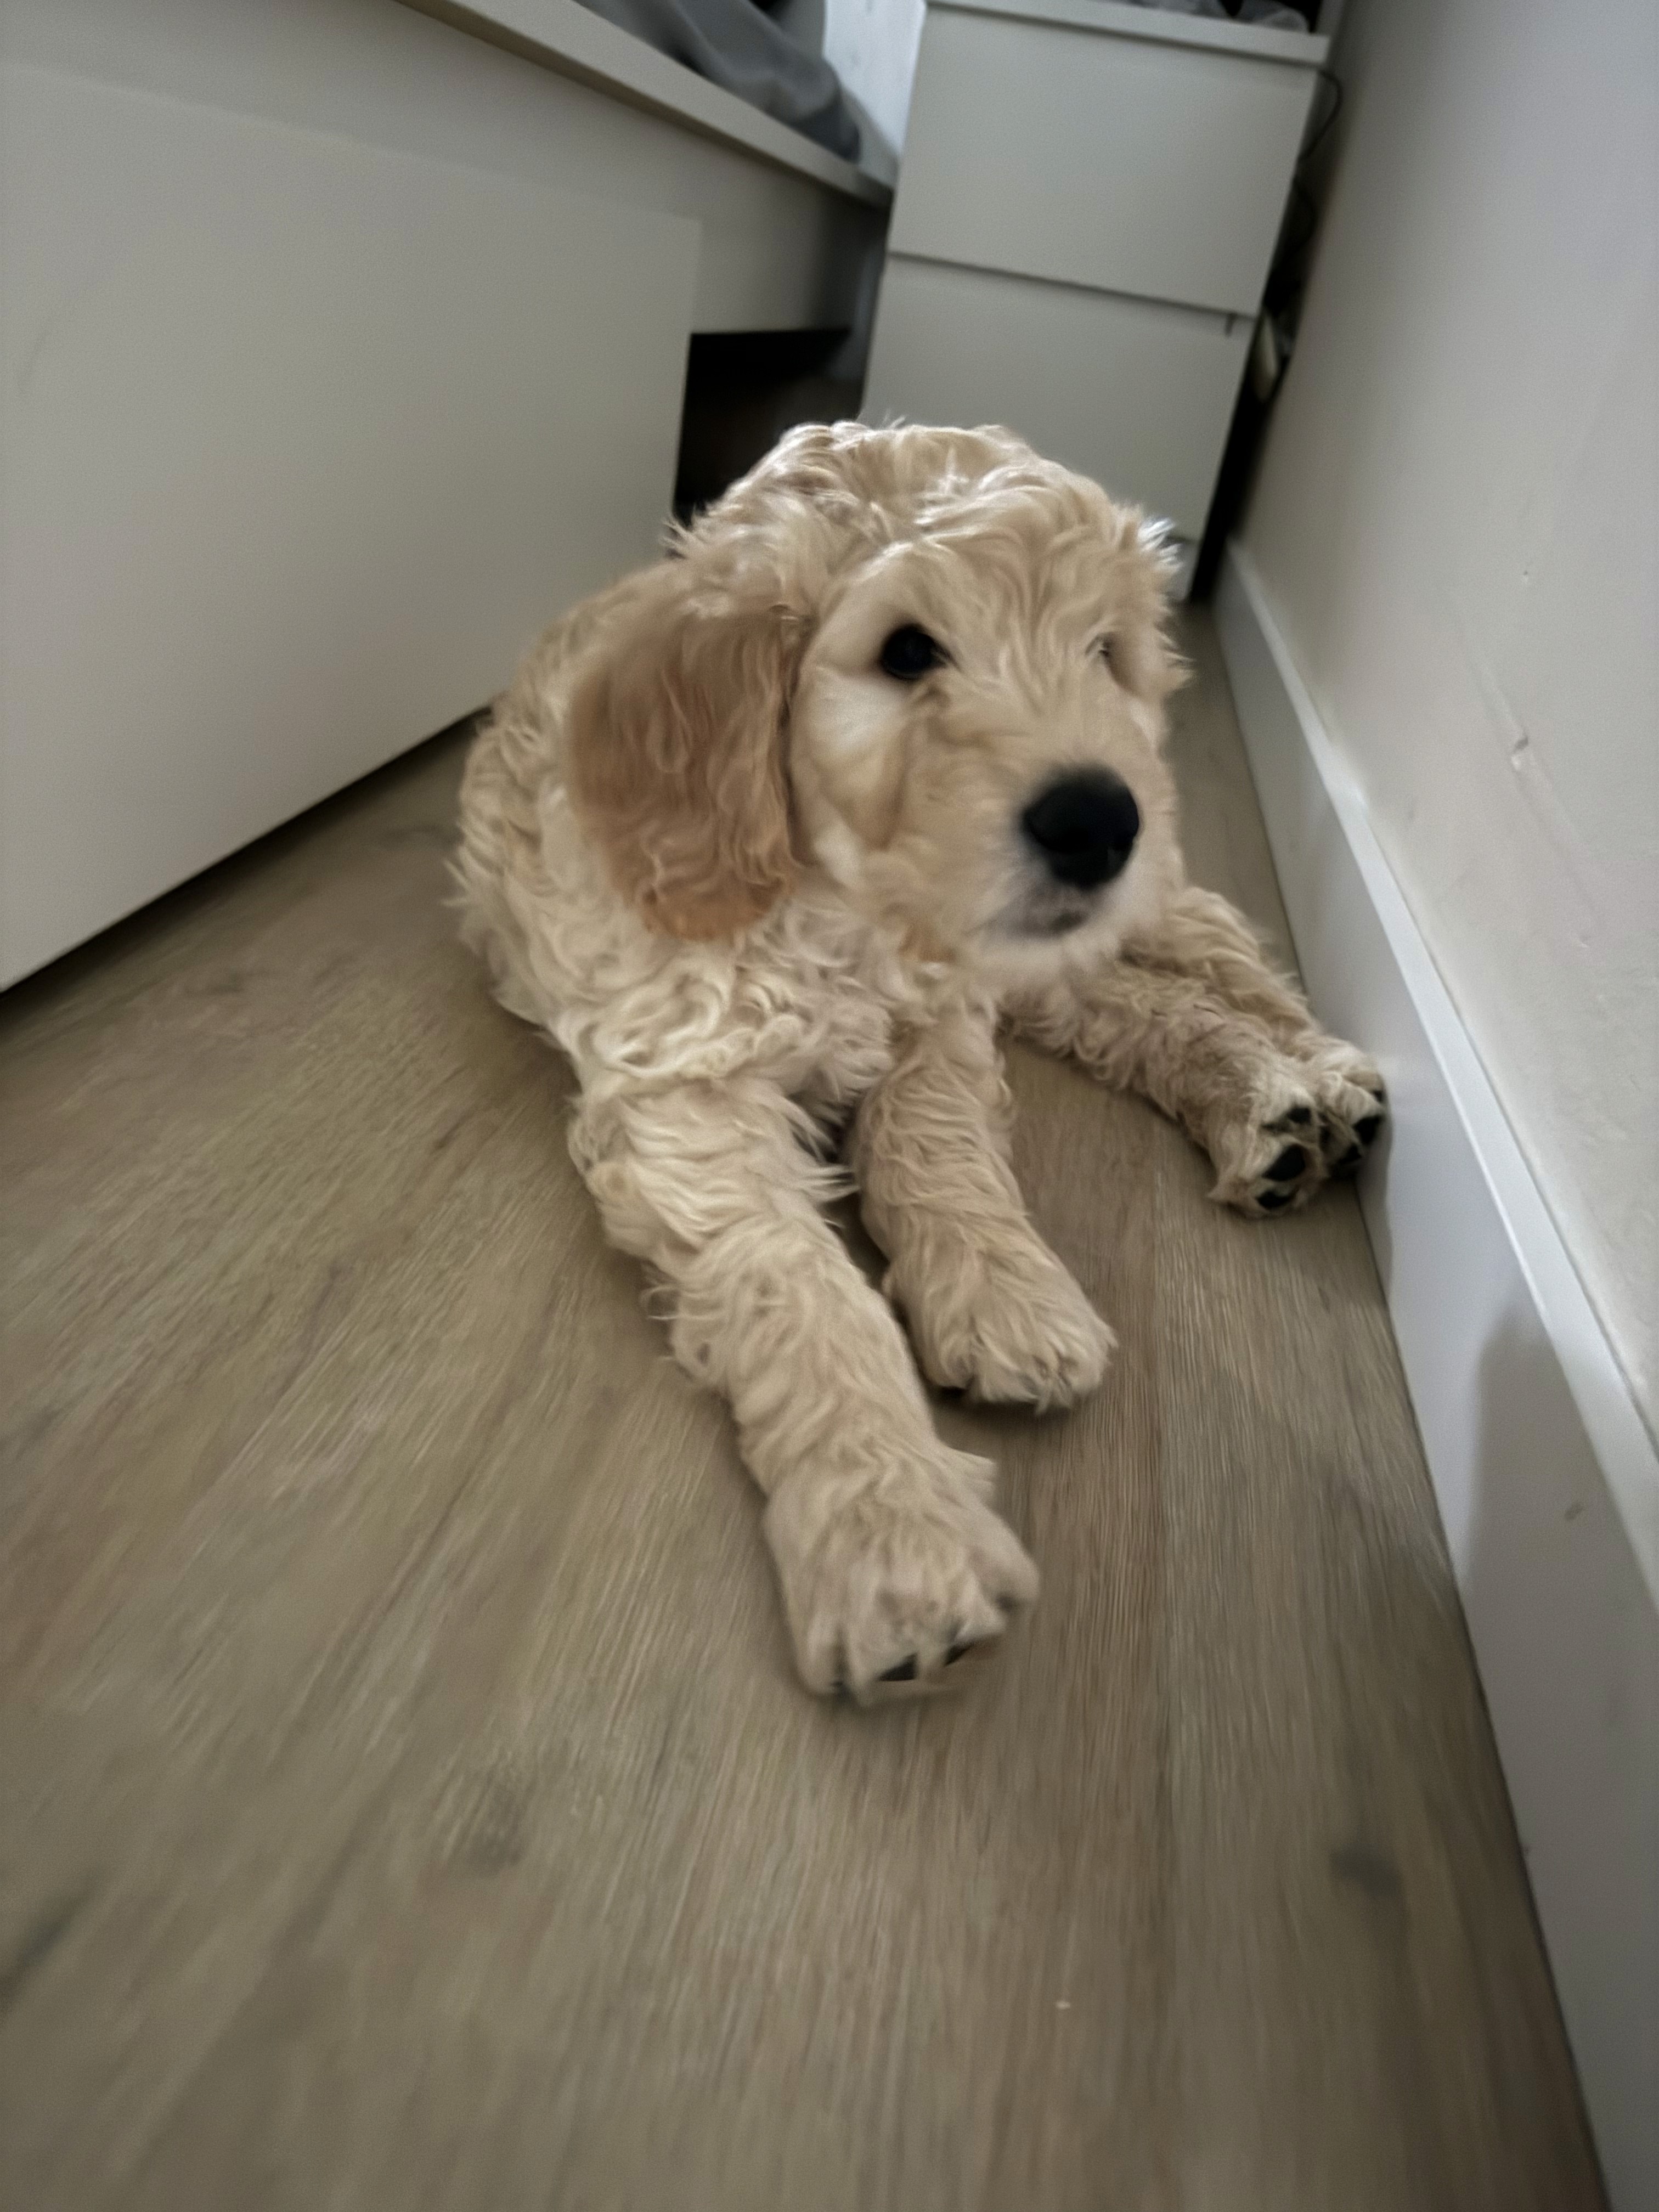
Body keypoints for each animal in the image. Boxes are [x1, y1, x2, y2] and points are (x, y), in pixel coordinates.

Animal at [455, 422, 1386, 1701]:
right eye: (905, 651)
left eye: (1104, 653)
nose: (1099, 820)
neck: (845, 909)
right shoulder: (690, 1092)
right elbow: (801, 1297)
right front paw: (894, 1537)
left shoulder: (940, 1025)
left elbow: (938, 1154)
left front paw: (1003, 1294)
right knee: (1132, 1010)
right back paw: (1270, 1111)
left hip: (1111, 924)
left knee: (1213, 948)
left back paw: (1319, 1072)